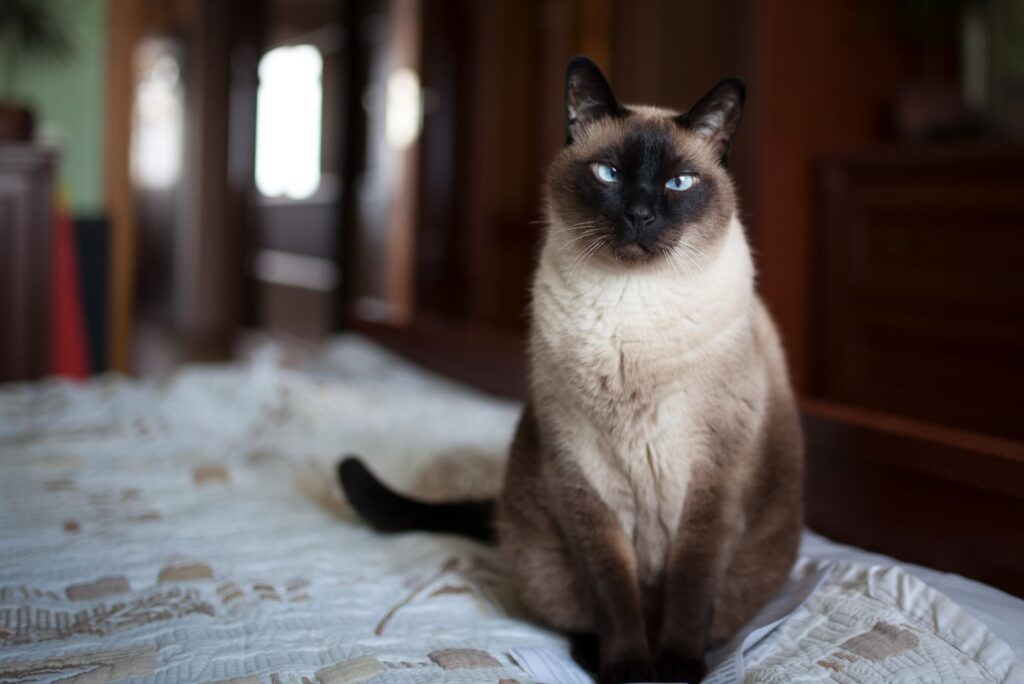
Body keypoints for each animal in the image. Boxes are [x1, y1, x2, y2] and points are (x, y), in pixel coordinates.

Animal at [339, 54, 802, 684]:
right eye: (608, 173)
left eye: (678, 183)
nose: (639, 214)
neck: (634, 314)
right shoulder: (583, 477)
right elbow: (613, 593)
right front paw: (629, 670)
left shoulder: (713, 483)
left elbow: (690, 588)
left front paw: (677, 669)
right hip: (541, 550)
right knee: (585, 610)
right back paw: (592, 656)